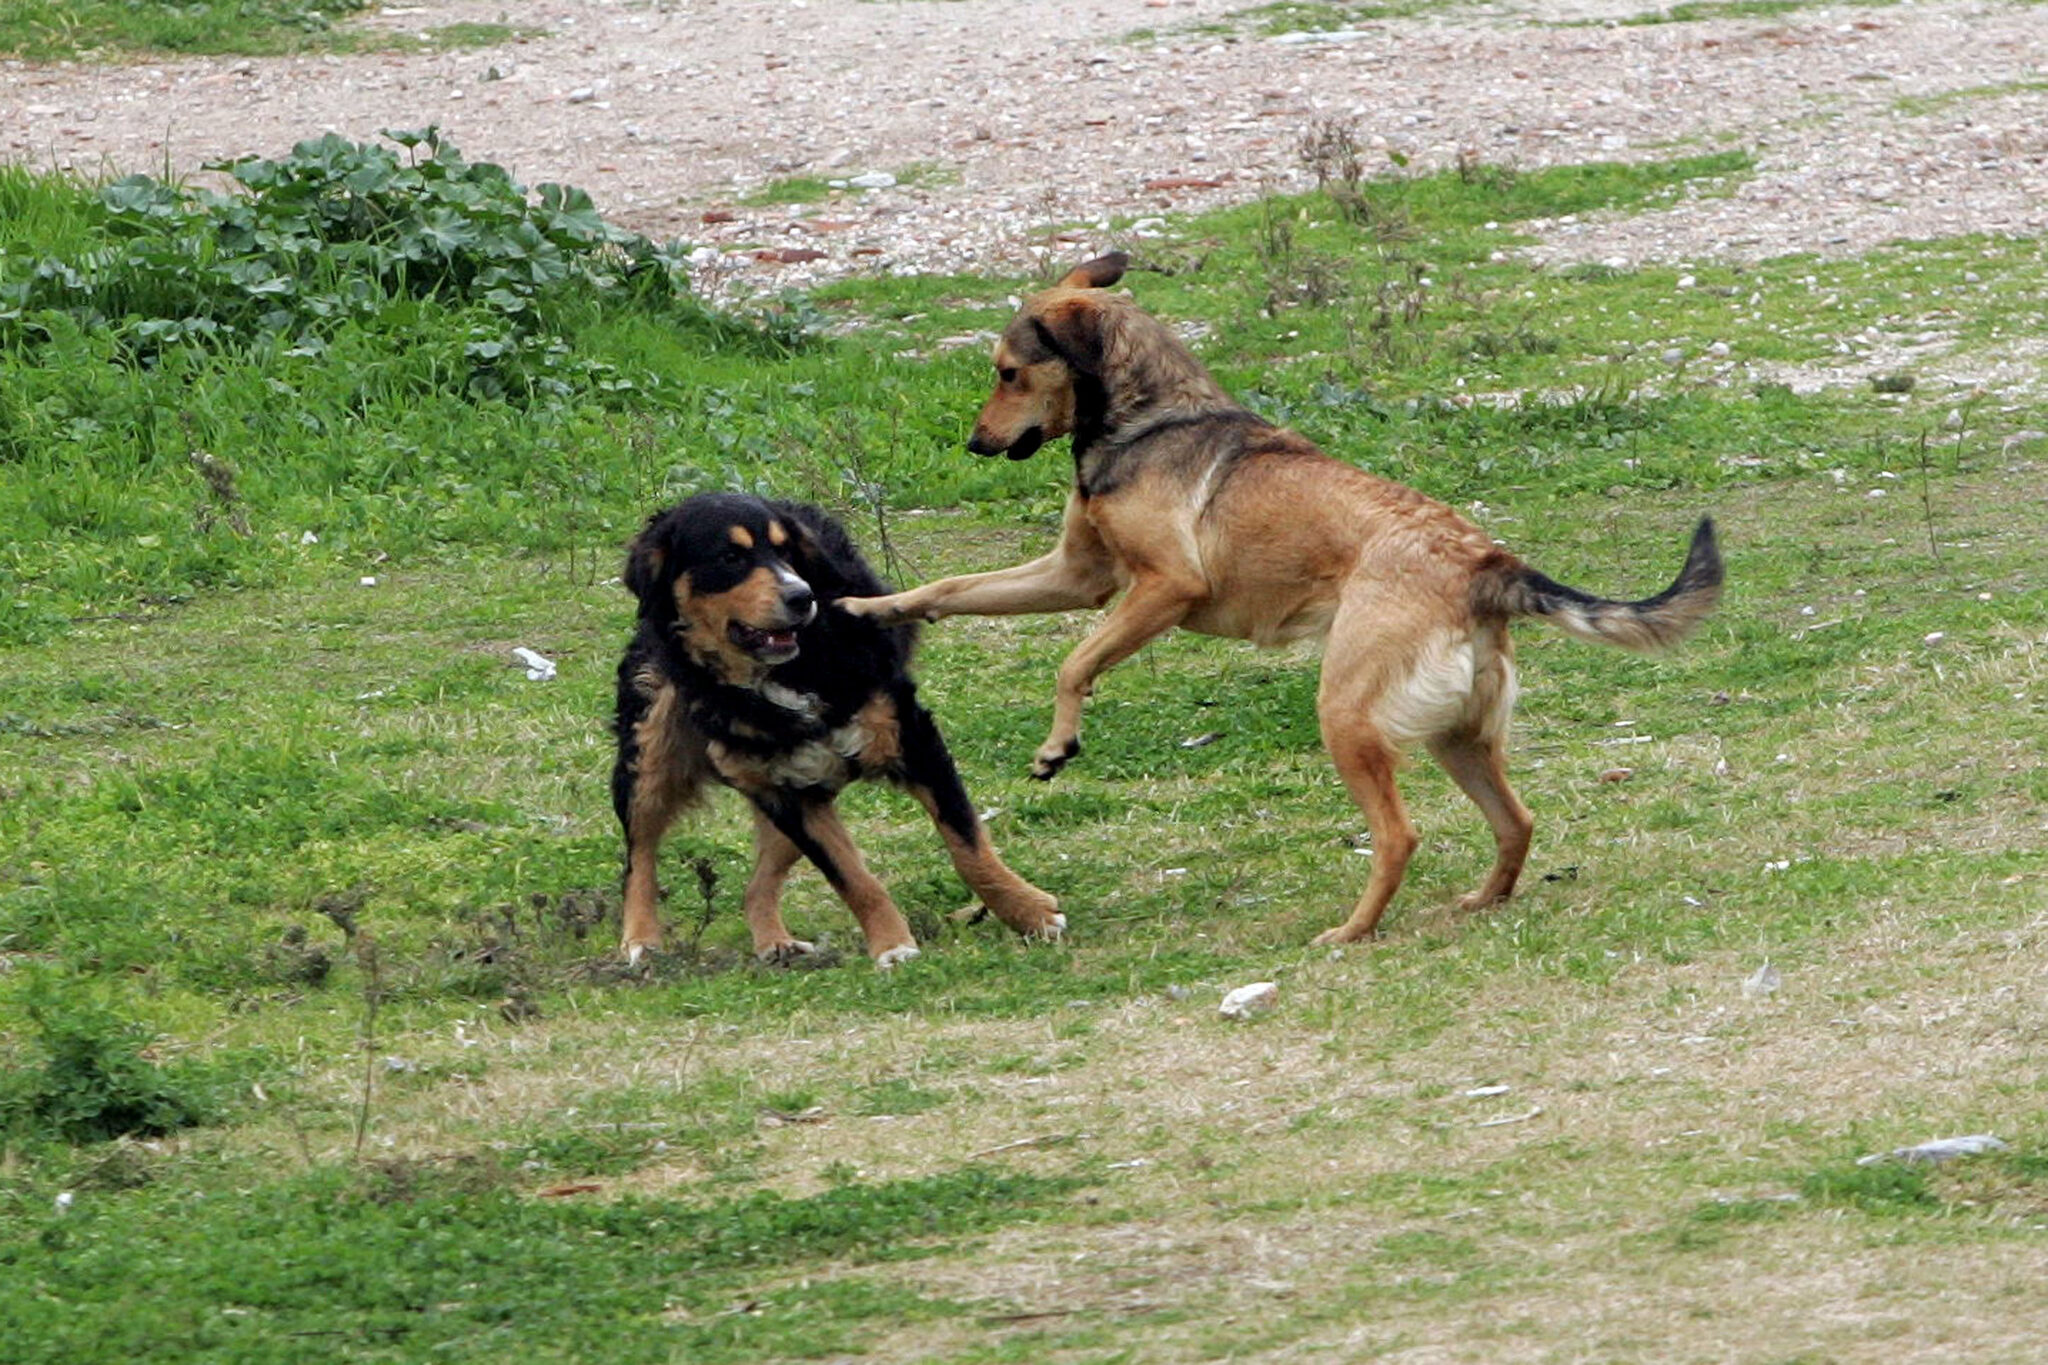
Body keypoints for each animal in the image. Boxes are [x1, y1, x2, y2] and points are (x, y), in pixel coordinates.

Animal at [606, 497, 1064, 965]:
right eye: (730, 557)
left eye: (785, 551)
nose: (800, 596)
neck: (791, 671)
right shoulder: (791, 798)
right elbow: (853, 879)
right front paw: (892, 945)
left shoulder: (913, 739)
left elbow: (968, 847)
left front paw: (1028, 912)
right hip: (652, 758)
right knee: (638, 856)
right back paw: (641, 939)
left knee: (754, 885)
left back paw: (774, 941)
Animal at [839, 253, 1720, 941]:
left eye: (1008, 372)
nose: (974, 443)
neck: (1149, 417)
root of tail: (1482, 563)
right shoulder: (1077, 574)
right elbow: (950, 589)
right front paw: (864, 609)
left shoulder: (1162, 588)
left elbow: (1073, 663)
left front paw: (1059, 745)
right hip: (1457, 735)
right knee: (1517, 820)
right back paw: (1483, 901)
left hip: (1349, 717)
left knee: (1399, 835)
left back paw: (1354, 929)